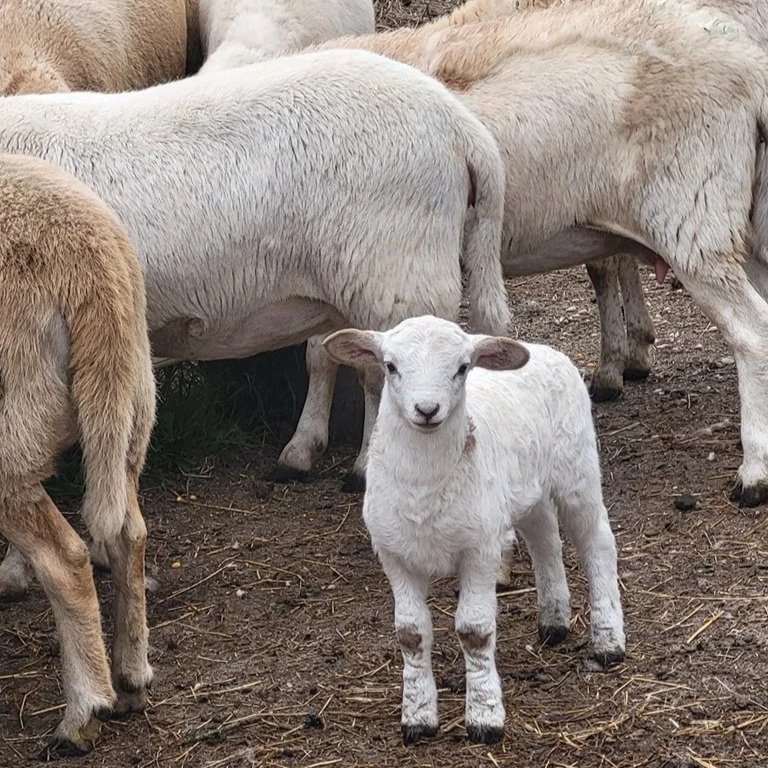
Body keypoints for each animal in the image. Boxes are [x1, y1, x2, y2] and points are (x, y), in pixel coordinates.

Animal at [0, 153, 155, 757]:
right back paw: (130, 677)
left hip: (16, 411)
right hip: (130, 400)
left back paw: (83, 711)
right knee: (129, 532)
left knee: (64, 558)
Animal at [316, 0, 768, 506]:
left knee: (751, 331)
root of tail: (749, 67)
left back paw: (754, 472)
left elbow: (362, 367)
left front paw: (356, 462)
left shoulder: (373, 264)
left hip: (692, 216)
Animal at [323, 315, 625, 744]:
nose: (427, 409)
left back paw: (608, 640)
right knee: (544, 537)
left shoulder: (480, 549)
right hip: (525, 488)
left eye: (463, 368)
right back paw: (553, 621)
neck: (424, 486)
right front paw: (417, 717)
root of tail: (545, 350)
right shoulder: (394, 554)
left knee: (597, 542)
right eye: (390, 366)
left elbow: (474, 631)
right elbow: (410, 634)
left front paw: (484, 716)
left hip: (577, 467)